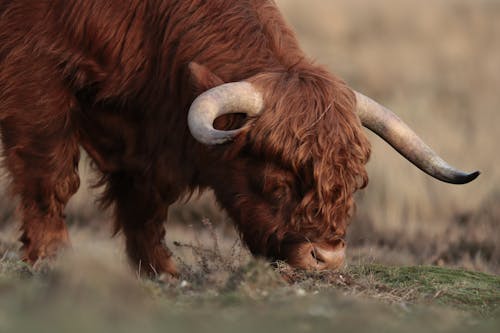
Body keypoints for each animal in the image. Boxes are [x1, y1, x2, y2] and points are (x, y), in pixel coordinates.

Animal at [0, 0, 476, 276]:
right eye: (277, 180)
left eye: (355, 183)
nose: (326, 260)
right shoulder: (36, 81)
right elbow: (51, 175)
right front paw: (51, 256)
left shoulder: (144, 138)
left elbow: (145, 204)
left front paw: (160, 271)